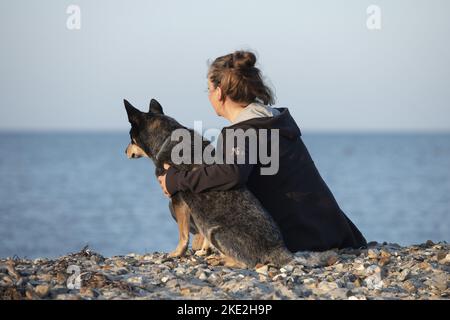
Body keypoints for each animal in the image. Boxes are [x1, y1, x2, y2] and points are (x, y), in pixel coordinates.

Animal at [124, 99, 292, 268]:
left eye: (131, 138)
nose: (124, 151)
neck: (166, 138)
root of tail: (278, 249)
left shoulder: (178, 199)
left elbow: (183, 234)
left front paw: (177, 253)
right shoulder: (195, 211)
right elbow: (199, 231)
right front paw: (204, 250)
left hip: (216, 232)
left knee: (246, 263)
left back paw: (221, 259)